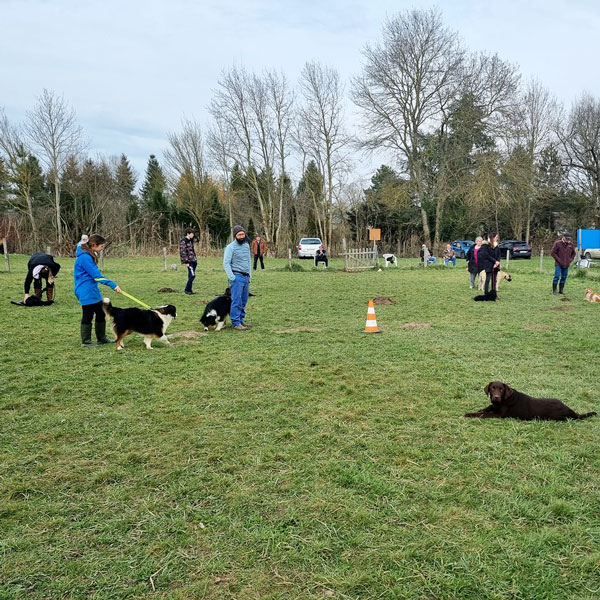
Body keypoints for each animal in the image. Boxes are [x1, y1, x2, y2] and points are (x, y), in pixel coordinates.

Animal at [464, 382, 596, 420]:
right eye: (492, 388)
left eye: (501, 389)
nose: (496, 397)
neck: (503, 401)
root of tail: (570, 410)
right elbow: (486, 408)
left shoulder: (499, 415)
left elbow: (483, 414)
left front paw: (470, 414)